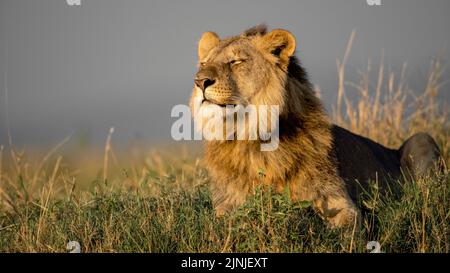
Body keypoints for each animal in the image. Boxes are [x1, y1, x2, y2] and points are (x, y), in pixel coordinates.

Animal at [188, 24, 442, 227]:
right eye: (204, 63)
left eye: (236, 61)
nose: (200, 81)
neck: (251, 137)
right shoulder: (226, 205)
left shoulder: (339, 202)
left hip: (421, 139)